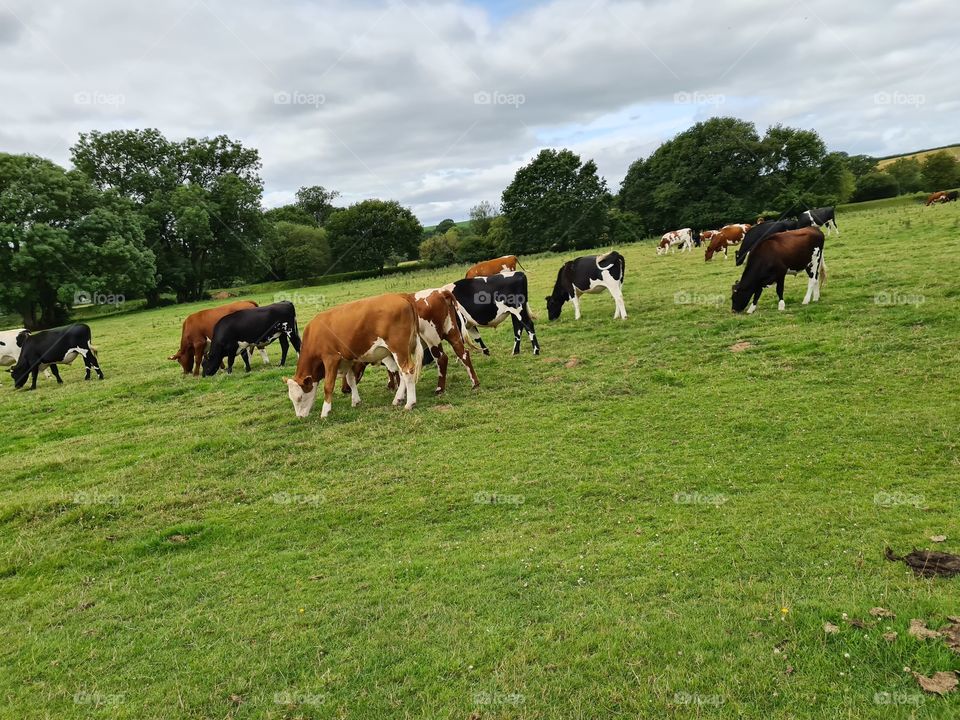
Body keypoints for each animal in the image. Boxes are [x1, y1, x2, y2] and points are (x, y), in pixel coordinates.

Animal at [284, 292, 420, 420]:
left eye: (299, 397)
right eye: (291, 398)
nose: (300, 417)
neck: (314, 334)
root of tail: (400, 295)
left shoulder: (330, 358)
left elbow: (328, 386)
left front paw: (325, 411)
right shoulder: (347, 360)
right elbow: (351, 380)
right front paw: (355, 401)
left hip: (399, 349)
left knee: (407, 371)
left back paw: (410, 403)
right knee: (401, 373)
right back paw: (398, 399)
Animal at [344, 288, 480, 400]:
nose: (344, 390)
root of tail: (440, 292)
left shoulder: (392, 352)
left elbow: (394, 370)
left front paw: (398, 389)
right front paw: (393, 386)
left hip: (432, 338)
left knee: (442, 359)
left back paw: (440, 388)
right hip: (452, 333)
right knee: (463, 353)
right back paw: (475, 383)